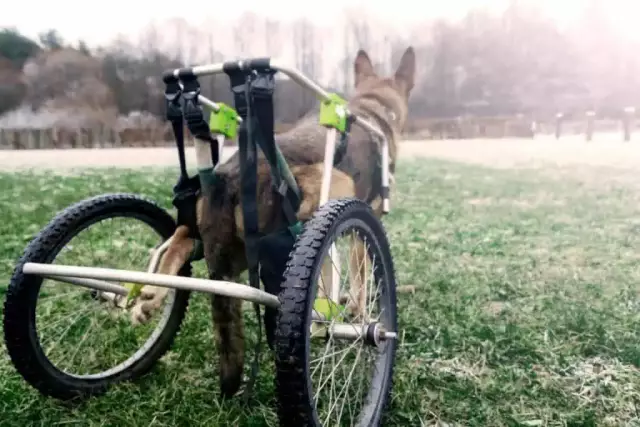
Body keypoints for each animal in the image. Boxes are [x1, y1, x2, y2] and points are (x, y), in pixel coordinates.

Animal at [128, 46, 418, 398]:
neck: (373, 108)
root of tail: (230, 179)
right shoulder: (364, 227)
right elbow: (360, 280)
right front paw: (355, 313)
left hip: (224, 249)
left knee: (180, 241)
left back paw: (149, 296)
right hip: (334, 190)